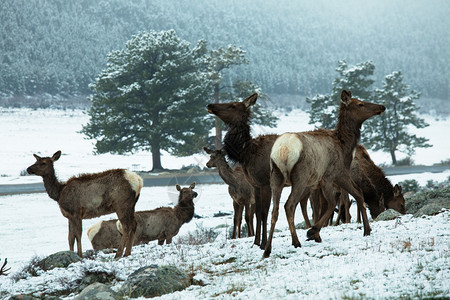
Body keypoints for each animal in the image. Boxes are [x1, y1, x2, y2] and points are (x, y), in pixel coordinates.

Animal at [207, 94, 278, 248]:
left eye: (233, 105)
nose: (210, 105)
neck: (247, 152)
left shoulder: (266, 183)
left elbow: (264, 213)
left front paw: (264, 244)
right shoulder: (256, 185)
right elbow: (257, 214)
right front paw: (256, 242)